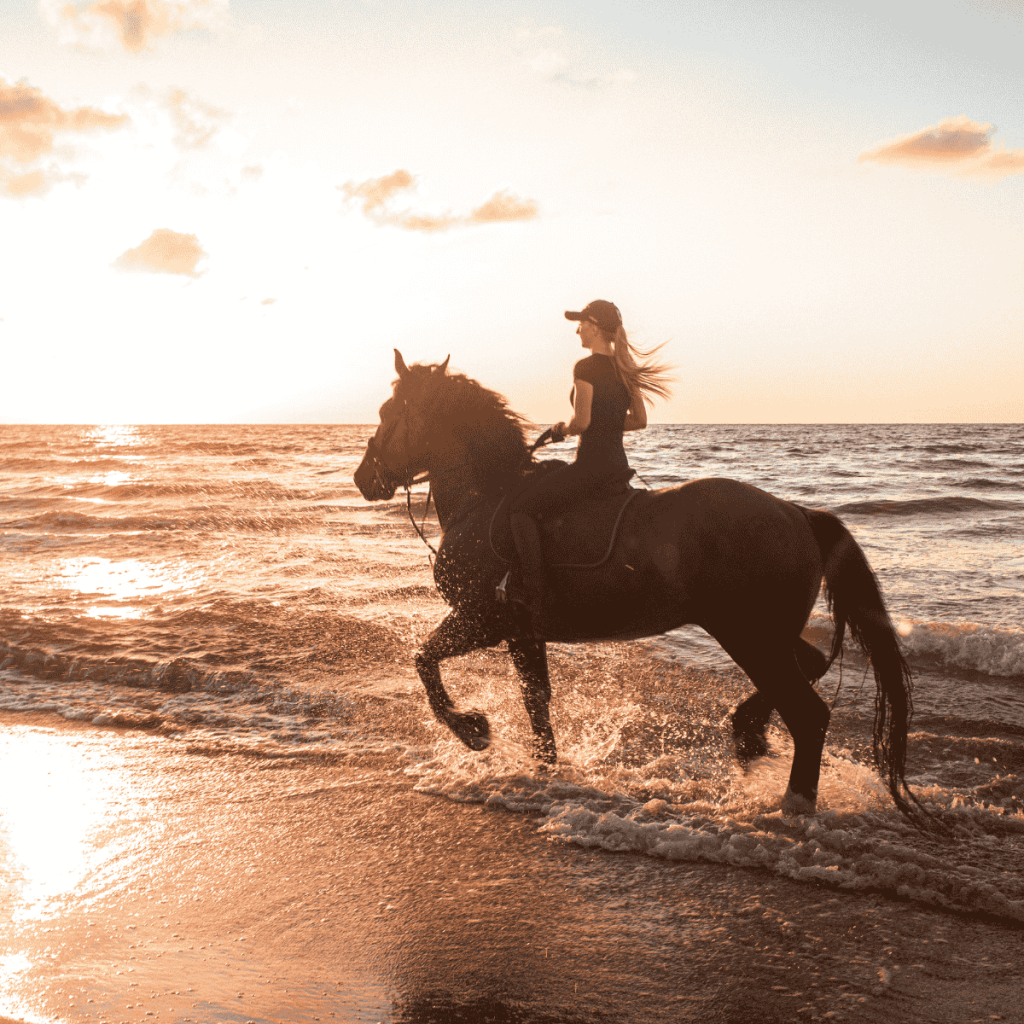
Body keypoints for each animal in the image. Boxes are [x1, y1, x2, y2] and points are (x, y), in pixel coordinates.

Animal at [354, 350, 920, 820]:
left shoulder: (482, 619)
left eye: (386, 413)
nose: (364, 479)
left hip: (748, 635)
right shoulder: (522, 632)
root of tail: (796, 513)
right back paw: (747, 734)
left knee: (808, 714)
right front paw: (545, 771)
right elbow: (536, 702)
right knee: (813, 664)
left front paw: (473, 731)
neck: (486, 497)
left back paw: (793, 803)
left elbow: (425, 664)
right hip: (768, 634)